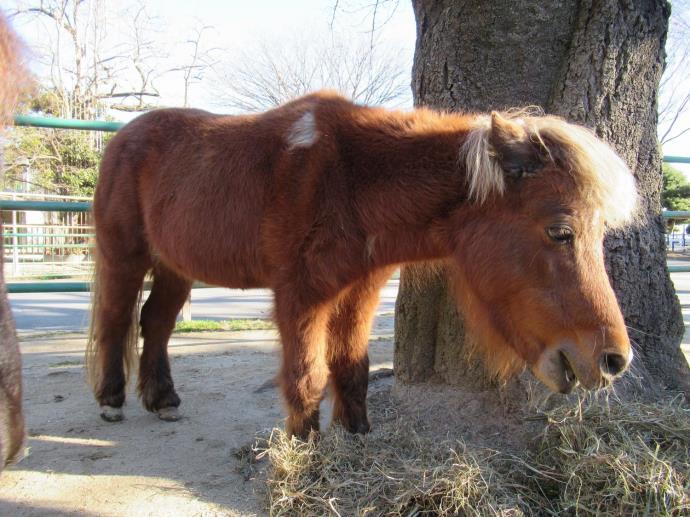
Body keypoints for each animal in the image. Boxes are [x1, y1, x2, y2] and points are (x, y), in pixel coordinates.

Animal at [86, 91, 636, 436]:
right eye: (560, 231)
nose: (614, 360)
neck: (352, 177)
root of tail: (120, 138)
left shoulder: (359, 293)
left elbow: (352, 369)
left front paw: (355, 438)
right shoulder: (300, 297)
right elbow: (307, 376)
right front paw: (303, 450)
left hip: (175, 267)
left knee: (156, 322)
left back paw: (163, 400)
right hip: (124, 256)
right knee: (116, 318)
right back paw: (111, 402)